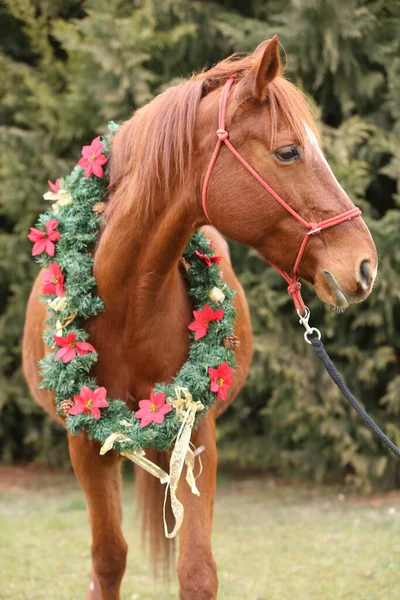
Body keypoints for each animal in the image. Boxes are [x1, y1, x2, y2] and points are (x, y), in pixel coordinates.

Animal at [22, 37, 378, 600]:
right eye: (288, 151)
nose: (365, 265)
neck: (126, 307)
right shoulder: (84, 443)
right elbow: (108, 559)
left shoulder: (197, 431)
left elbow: (196, 571)